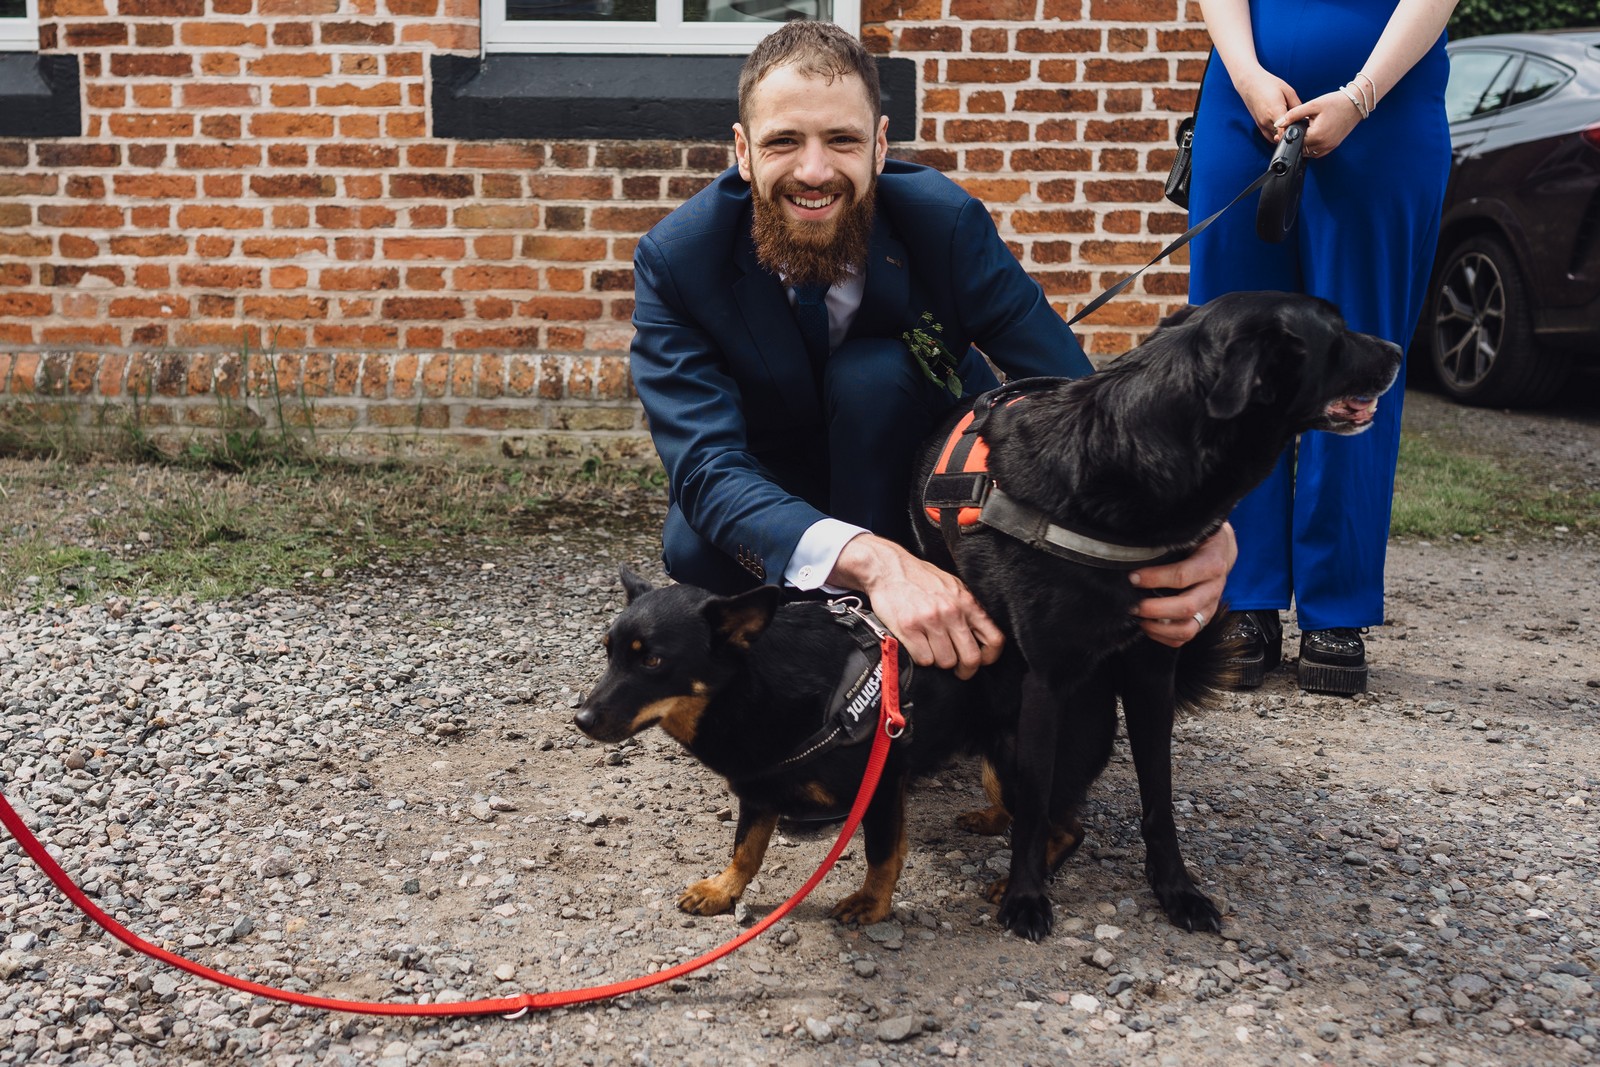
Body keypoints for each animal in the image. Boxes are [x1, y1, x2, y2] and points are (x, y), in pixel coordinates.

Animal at [579, 566, 1011, 927]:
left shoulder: (882, 788)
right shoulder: (759, 790)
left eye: (652, 661)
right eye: (607, 651)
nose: (580, 719)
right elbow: (745, 849)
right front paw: (723, 889)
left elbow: (882, 854)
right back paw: (991, 821)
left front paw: (872, 903)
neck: (753, 689)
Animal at [915, 287, 1401, 940]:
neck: (1128, 458)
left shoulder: (1152, 675)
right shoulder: (1045, 683)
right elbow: (1037, 808)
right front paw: (1025, 898)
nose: (1399, 351)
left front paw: (1176, 890)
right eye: (1338, 333)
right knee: (1041, 808)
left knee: (1068, 822)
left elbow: (1159, 799)